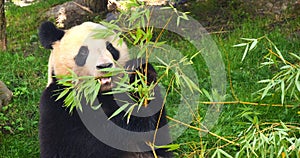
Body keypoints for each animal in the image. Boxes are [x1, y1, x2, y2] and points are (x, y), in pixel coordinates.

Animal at [38, 21, 172, 158]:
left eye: (110, 48)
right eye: (83, 52)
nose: (105, 66)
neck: (101, 93)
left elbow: (157, 136)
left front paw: (140, 75)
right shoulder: (60, 104)